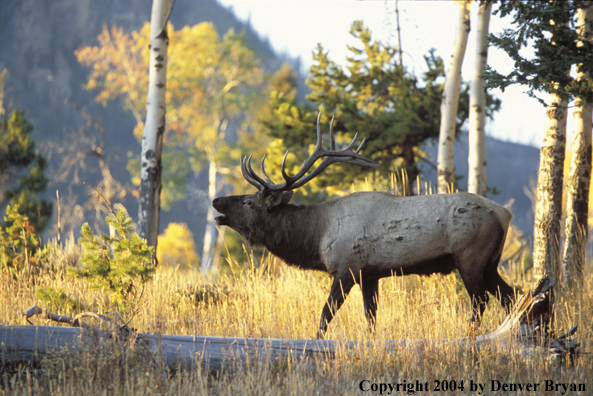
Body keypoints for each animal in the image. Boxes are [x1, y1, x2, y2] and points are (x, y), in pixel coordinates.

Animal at [214, 113, 512, 338]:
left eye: (248, 202)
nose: (217, 201)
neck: (316, 237)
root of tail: (505, 214)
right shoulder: (370, 275)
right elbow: (370, 318)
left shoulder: (347, 268)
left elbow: (325, 315)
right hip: (490, 262)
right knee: (509, 295)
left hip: (470, 257)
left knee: (481, 301)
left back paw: (471, 336)